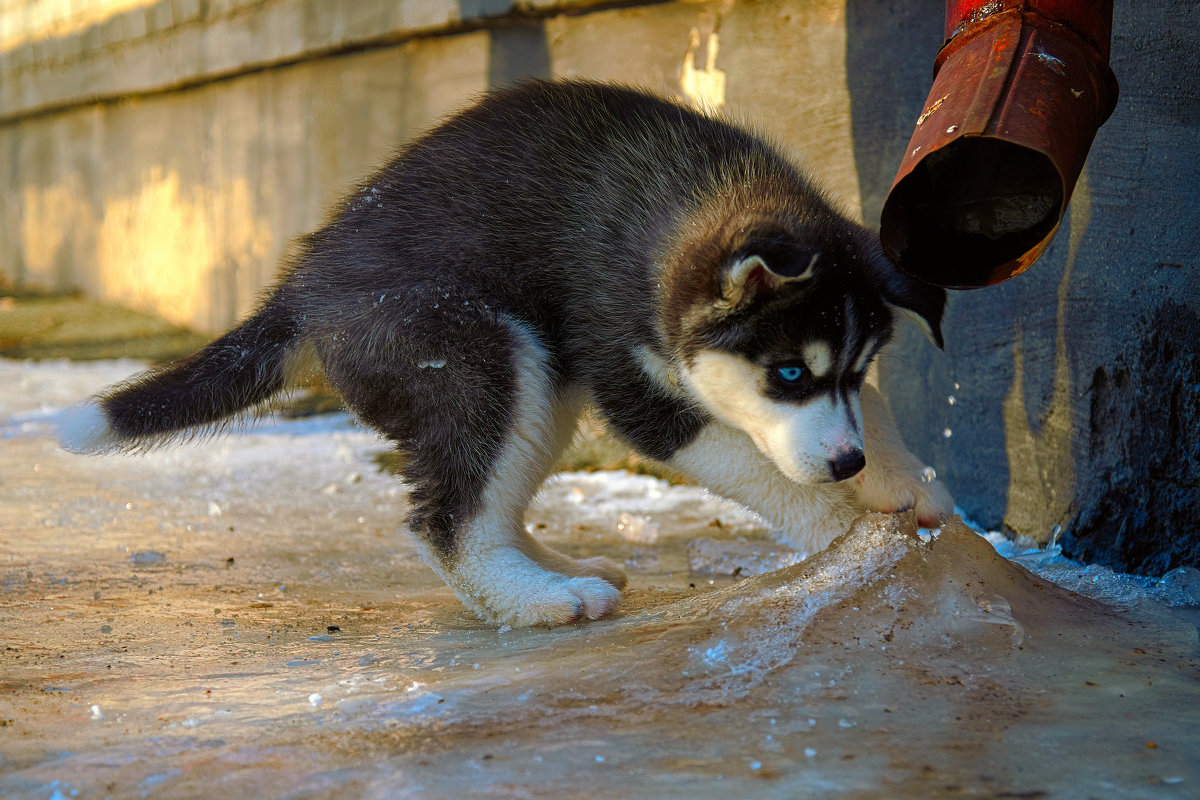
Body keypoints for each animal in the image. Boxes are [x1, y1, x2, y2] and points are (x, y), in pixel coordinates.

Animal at [58, 82, 955, 633]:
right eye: (788, 374)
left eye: (854, 369)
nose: (844, 464)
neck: (686, 203)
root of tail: (301, 290)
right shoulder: (636, 385)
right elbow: (763, 472)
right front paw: (842, 527)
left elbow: (873, 419)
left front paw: (906, 482)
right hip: (474, 354)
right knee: (443, 518)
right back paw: (539, 601)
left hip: (537, 379)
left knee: (492, 496)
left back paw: (552, 571)